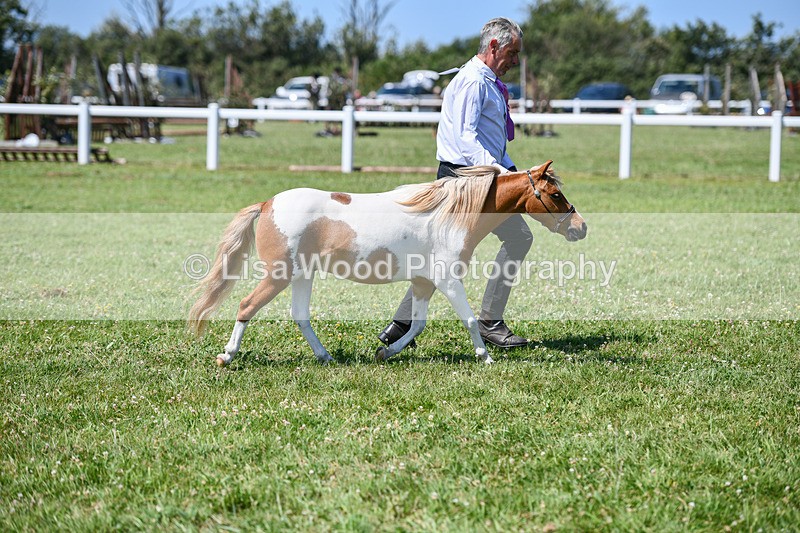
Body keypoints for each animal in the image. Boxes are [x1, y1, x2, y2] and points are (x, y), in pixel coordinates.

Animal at [188, 160, 586, 365]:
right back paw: (227, 356)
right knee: (246, 306)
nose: (580, 227)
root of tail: (268, 203)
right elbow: (470, 319)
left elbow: (417, 324)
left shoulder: (424, 283)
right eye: (554, 194)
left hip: (302, 275)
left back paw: (325, 356)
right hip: (279, 274)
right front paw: (484, 357)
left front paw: (385, 351)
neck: (450, 216)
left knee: (300, 315)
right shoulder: (448, 281)